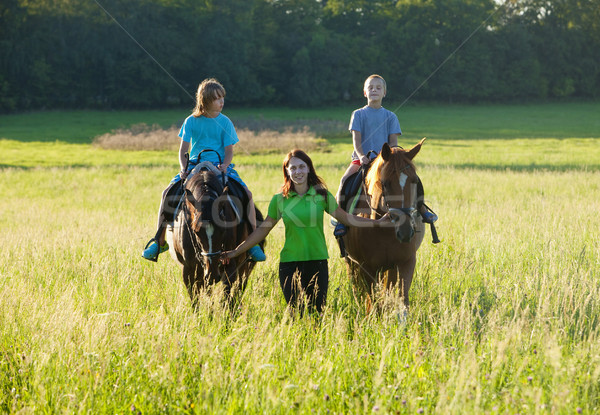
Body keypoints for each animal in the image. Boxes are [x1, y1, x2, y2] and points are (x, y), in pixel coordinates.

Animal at [168, 163, 264, 308]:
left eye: (223, 230)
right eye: (196, 231)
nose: (213, 274)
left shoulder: (230, 266)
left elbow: (227, 298)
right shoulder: (189, 269)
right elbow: (195, 300)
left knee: (239, 288)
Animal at [342, 141, 426, 310]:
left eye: (414, 181)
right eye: (385, 183)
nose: (405, 232)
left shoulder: (405, 262)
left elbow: (402, 300)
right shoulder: (367, 268)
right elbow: (373, 302)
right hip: (351, 262)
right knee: (356, 288)